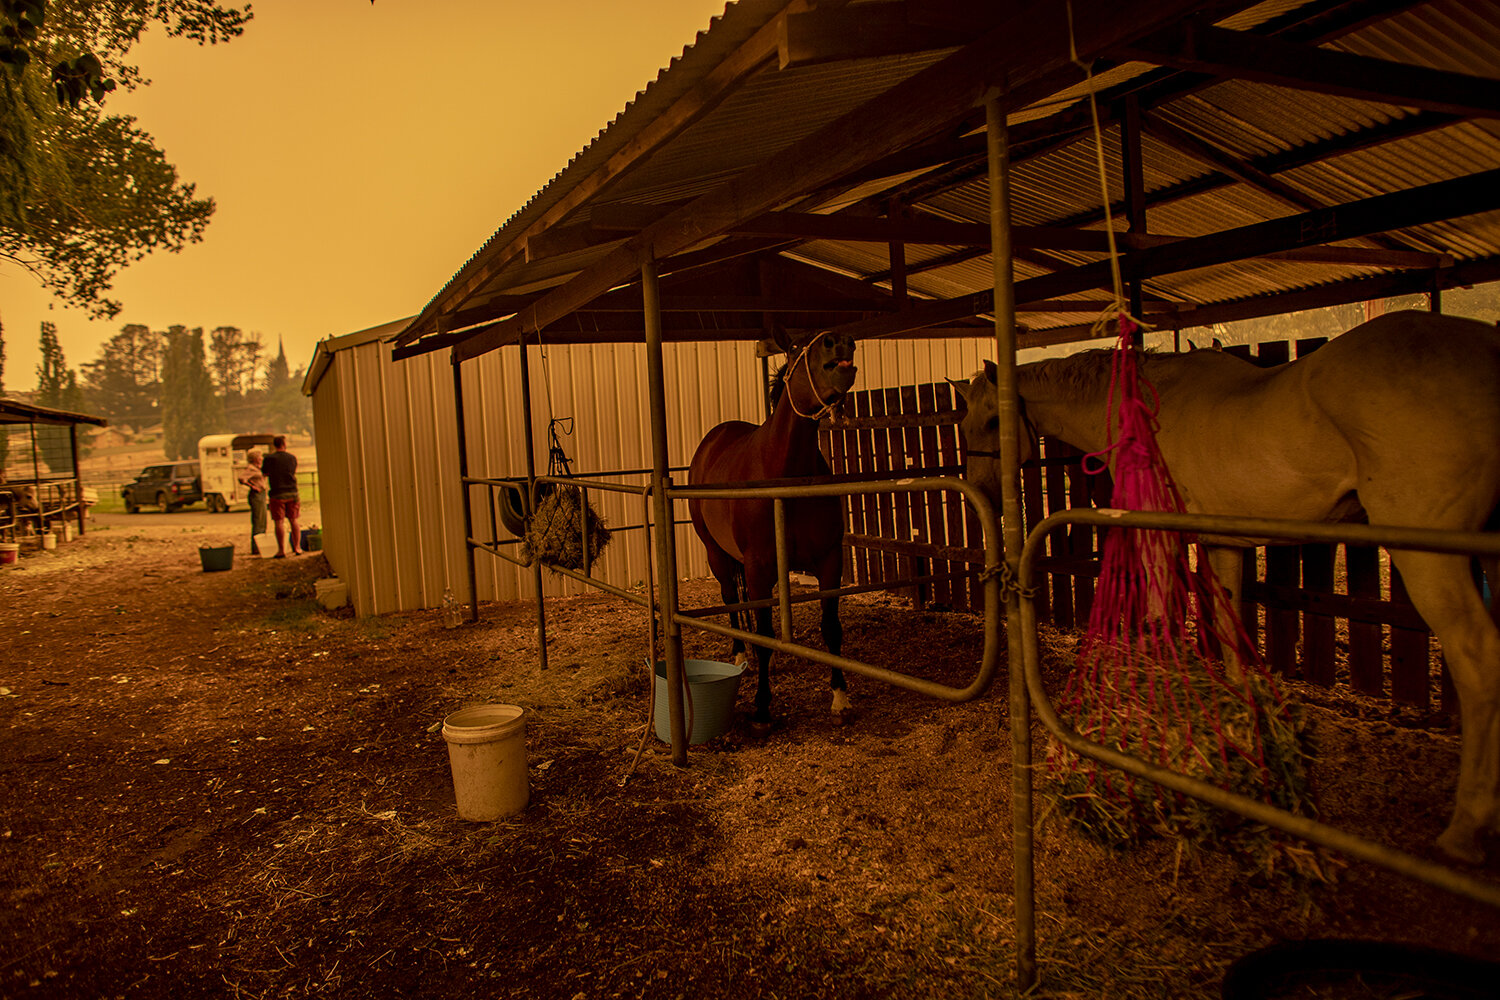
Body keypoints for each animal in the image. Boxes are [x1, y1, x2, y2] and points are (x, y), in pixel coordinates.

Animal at [687, 329, 858, 734]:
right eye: (795, 349)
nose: (839, 342)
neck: (784, 472)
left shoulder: (829, 561)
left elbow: (832, 628)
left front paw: (840, 699)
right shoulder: (758, 566)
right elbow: (764, 636)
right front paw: (762, 708)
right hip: (717, 554)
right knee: (731, 598)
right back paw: (738, 655)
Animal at [954, 313, 1500, 869]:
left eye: (994, 422)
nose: (985, 492)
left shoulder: (1162, 534)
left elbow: (1162, 616)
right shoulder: (1223, 542)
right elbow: (1229, 625)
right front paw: (1242, 717)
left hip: (1431, 557)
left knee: (1478, 659)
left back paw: (1465, 829)